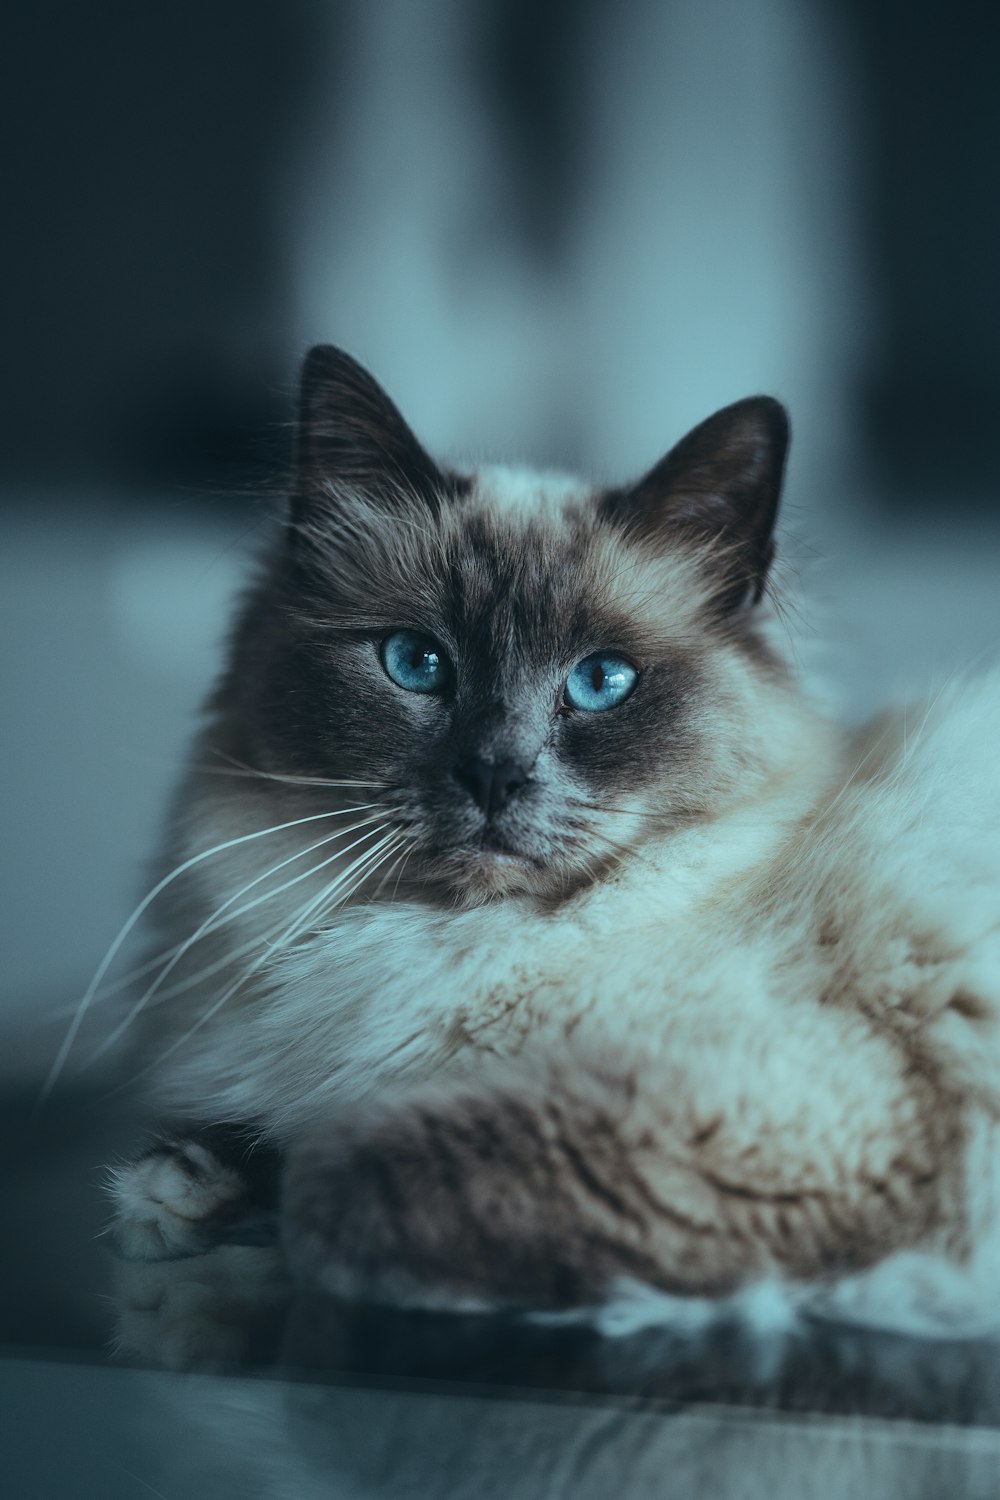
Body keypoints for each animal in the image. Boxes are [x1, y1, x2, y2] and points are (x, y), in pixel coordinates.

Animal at [93, 348, 1000, 1338]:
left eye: (601, 681)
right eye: (417, 663)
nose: (494, 775)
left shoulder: (788, 1112)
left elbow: (335, 1179)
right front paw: (184, 1186)